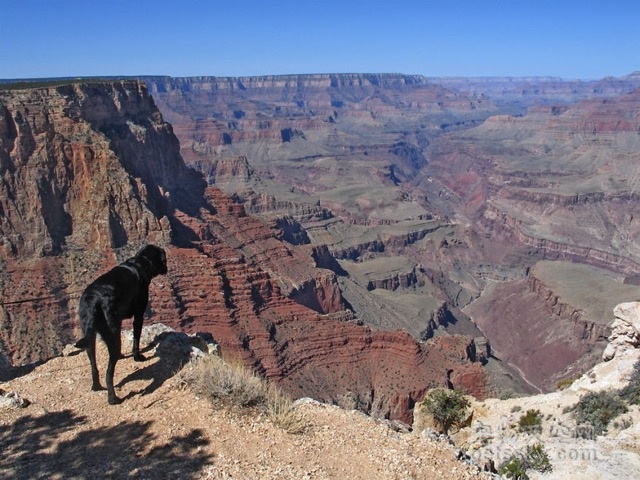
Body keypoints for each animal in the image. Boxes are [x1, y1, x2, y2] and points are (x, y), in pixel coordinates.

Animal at [75, 244, 168, 404]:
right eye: (164, 259)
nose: (167, 268)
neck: (140, 264)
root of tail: (94, 300)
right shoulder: (139, 314)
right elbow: (136, 337)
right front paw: (137, 356)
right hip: (110, 330)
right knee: (109, 372)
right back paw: (113, 398)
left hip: (88, 332)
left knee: (93, 363)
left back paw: (96, 386)